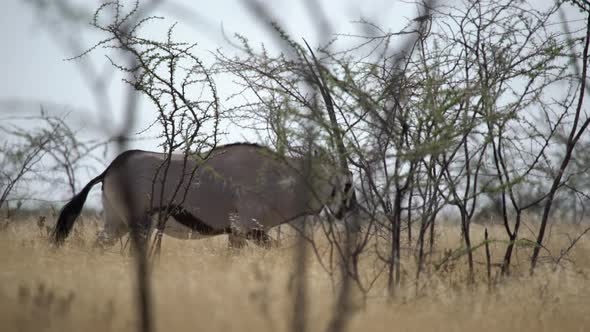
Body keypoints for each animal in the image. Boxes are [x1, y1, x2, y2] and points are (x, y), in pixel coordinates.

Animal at [52, 143, 356, 249]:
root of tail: (111, 168)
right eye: (347, 183)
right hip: (138, 225)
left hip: (117, 224)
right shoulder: (246, 230)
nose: (349, 209)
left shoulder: (244, 233)